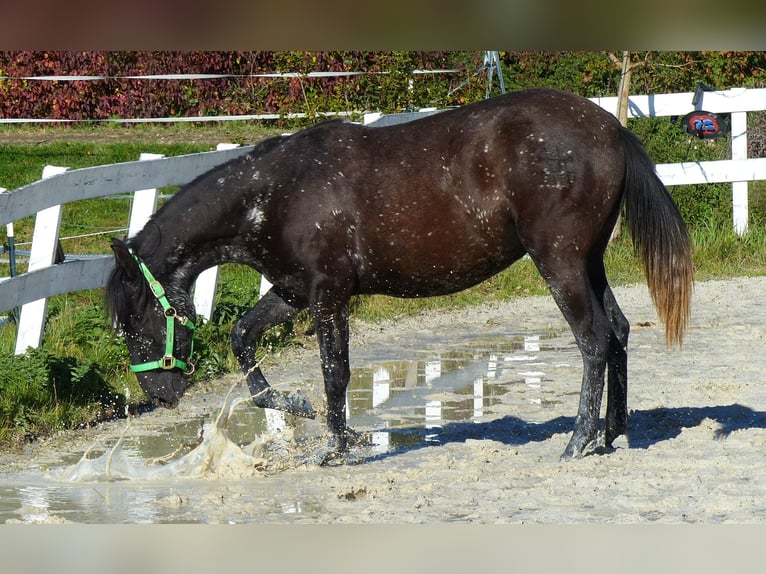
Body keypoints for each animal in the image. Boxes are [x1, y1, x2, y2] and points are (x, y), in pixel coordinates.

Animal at [106, 88, 693, 459]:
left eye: (134, 318)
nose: (160, 393)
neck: (277, 192)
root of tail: (609, 128)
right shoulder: (295, 292)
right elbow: (243, 337)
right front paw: (296, 406)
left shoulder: (328, 293)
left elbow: (335, 371)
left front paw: (340, 447)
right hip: (589, 261)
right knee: (617, 332)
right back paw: (610, 434)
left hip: (560, 262)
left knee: (593, 339)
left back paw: (578, 441)